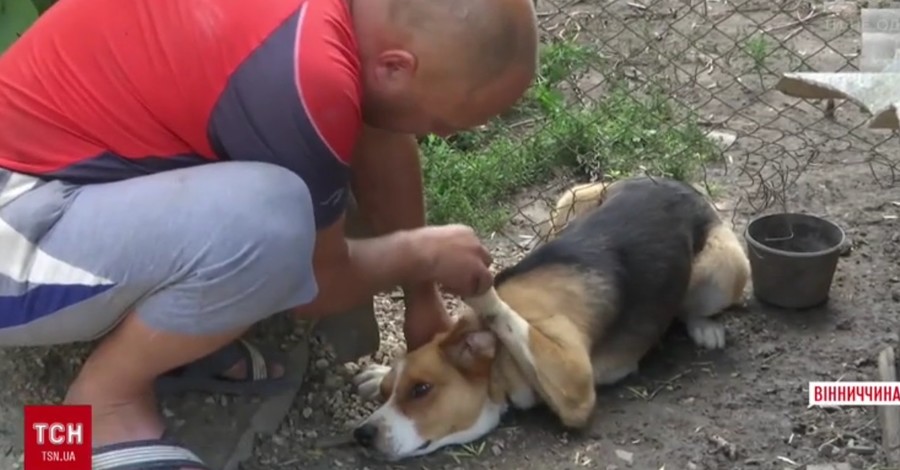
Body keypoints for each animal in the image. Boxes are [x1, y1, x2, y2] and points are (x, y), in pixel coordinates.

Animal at [352, 175, 752, 458]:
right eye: (389, 393)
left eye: (421, 390)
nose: (362, 434)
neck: (501, 363)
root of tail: (681, 186)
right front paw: (378, 373)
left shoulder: (574, 379)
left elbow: (497, 307)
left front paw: (474, 285)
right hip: (572, 199)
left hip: (724, 268)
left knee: (694, 305)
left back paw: (704, 327)